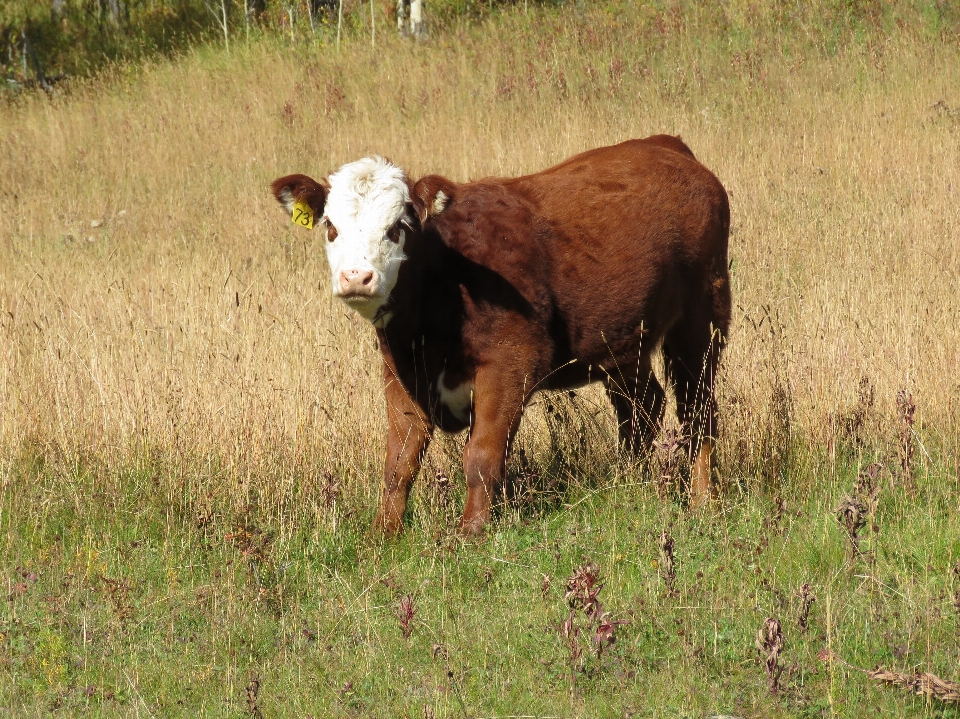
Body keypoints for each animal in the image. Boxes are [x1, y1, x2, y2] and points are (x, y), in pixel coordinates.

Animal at [270, 138, 728, 536]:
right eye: (331, 226)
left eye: (397, 227)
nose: (356, 277)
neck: (443, 284)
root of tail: (666, 145)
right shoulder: (401, 371)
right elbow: (399, 462)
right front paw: (383, 533)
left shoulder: (510, 364)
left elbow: (482, 455)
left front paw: (471, 531)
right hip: (623, 341)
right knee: (643, 408)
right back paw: (632, 485)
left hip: (702, 321)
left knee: (698, 410)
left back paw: (703, 501)